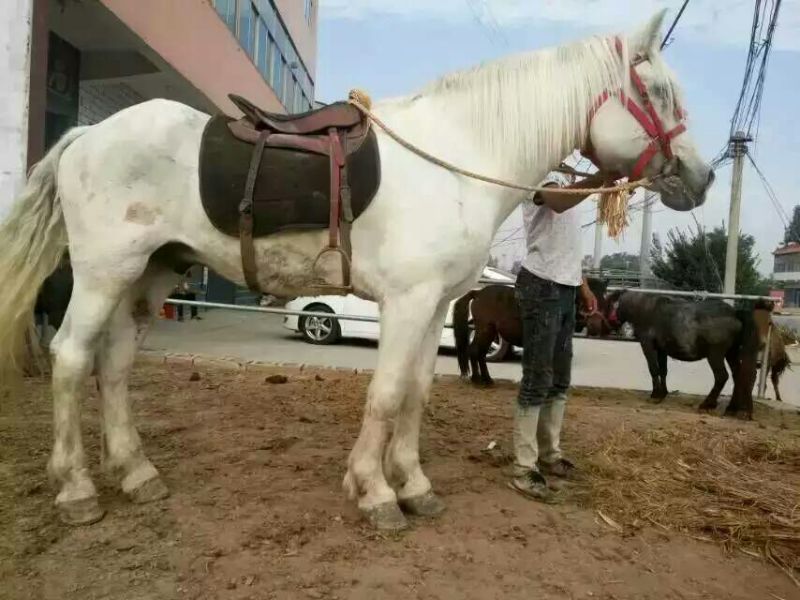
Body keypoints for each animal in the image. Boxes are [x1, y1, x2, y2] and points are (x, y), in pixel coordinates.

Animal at [453, 278, 609, 385]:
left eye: (603, 297)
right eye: (589, 298)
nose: (596, 324)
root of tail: (478, 293)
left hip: (489, 332)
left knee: (480, 354)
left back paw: (487, 379)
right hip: (485, 330)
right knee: (475, 351)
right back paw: (477, 379)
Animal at [604, 290, 769, 418]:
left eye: (607, 305)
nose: (606, 326)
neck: (647, 310)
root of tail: (734, 313)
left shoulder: (648, 345)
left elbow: (654, 369)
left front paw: (655, 395)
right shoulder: (662, 349)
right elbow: (663, 370)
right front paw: (662, 394)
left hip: (715, 355)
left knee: (722, 376)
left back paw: (707, 404)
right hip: (731, 353)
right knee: (739, 376)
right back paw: (733, 409)